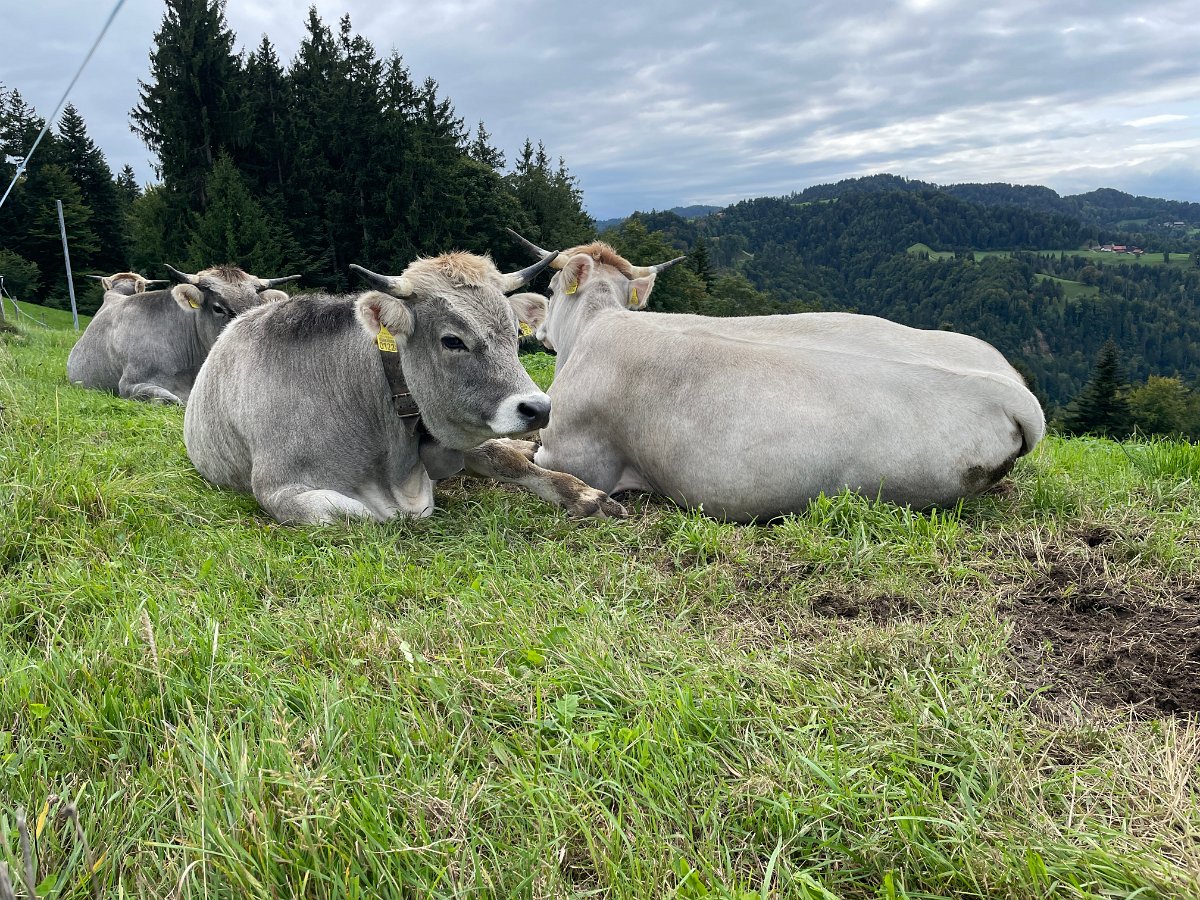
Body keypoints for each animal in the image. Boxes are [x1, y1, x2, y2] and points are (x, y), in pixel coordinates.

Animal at [182, 251, 627, 525]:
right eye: (452, 341)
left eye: (513, 336)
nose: (539, 409)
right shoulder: (279, 491)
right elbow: (362, 514)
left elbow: (505, 460)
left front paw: (585, 495)